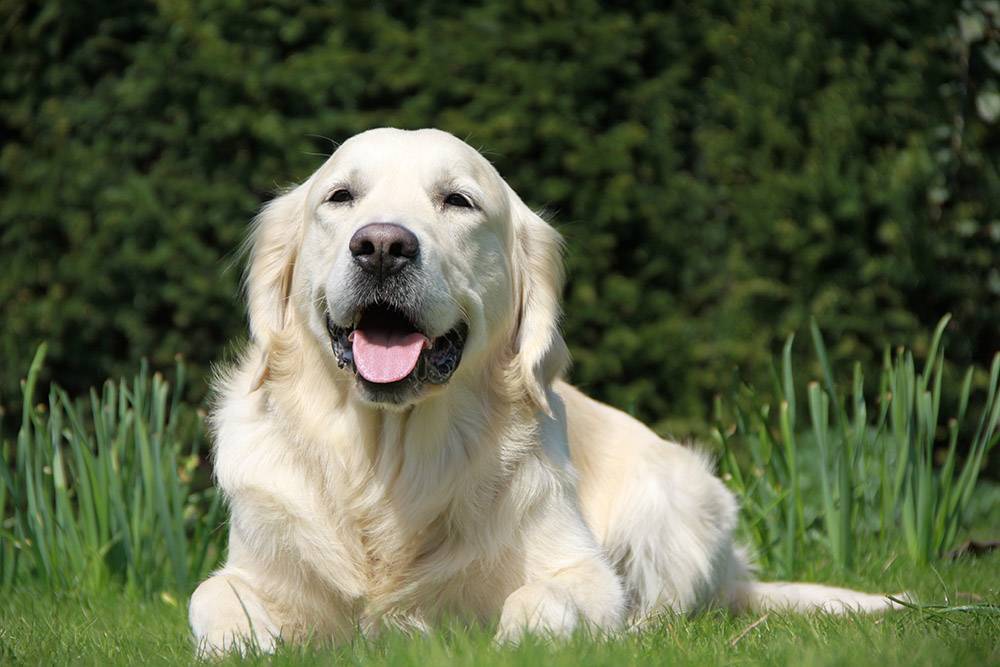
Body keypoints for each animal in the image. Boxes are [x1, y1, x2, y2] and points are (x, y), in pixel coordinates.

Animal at [186, 128, 900, 656]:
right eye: (340, 196)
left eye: (458, 201)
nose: (383, 246)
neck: (388, 463)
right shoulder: (254, 568)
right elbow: (210, 599)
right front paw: (248, 641)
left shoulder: (581, 569)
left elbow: (549, 597)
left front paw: (525, 634)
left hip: (675, 497)